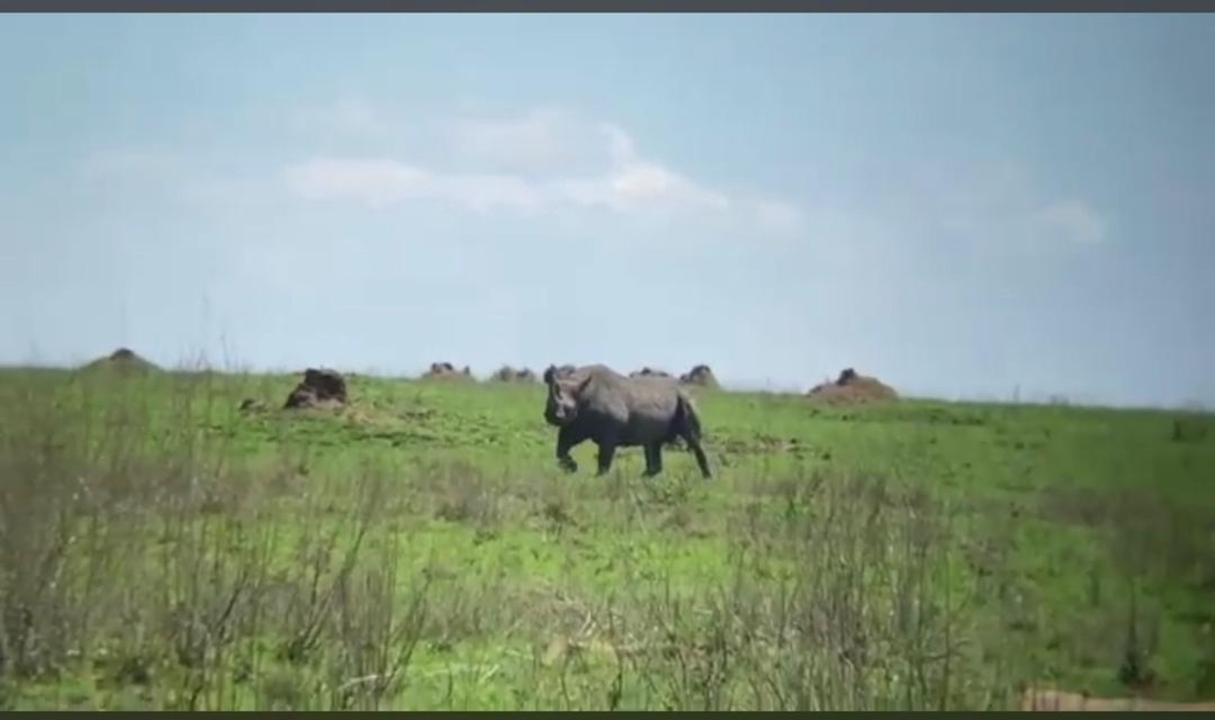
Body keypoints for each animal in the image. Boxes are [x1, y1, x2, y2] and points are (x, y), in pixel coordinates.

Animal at [542, 364, 712, 479]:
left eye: (568, 409)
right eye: (548, 403)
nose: (555, 417)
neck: (582, 392)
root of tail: (685, 389)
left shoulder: (610, 430)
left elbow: (604, 459)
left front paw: (598, 478)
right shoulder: (576, 425)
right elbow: (561, 449)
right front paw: (571, 467)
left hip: (685, 400)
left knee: (692, 439)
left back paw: (707, 478)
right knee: (652, 443)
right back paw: (642, 478)